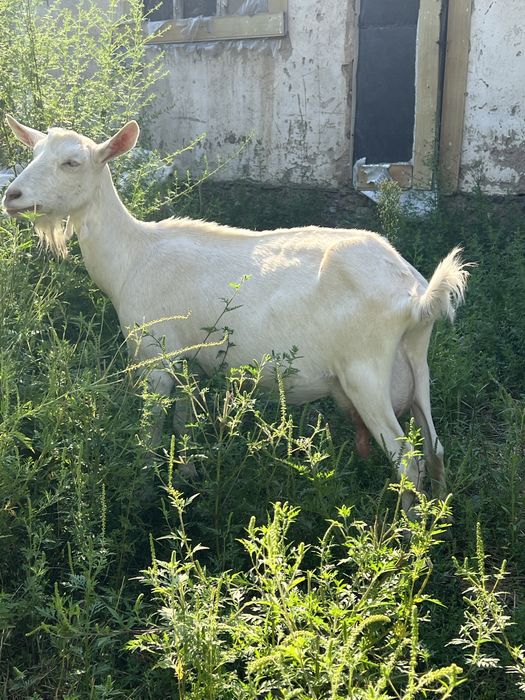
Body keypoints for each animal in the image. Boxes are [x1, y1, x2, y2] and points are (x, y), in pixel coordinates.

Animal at [2, 116, 469, 513]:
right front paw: (188, 478)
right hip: (416, 366)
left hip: (364, 372)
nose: (12, 196)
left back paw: (400, 544)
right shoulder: (189, 359)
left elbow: (152, 433)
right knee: (435, 450)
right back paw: (435, 527)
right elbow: (184, 423)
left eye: (72, 162)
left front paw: (143, 494)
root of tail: (415, 295)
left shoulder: (155, 356)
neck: (133, 256)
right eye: (34, 152)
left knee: (407, 461)